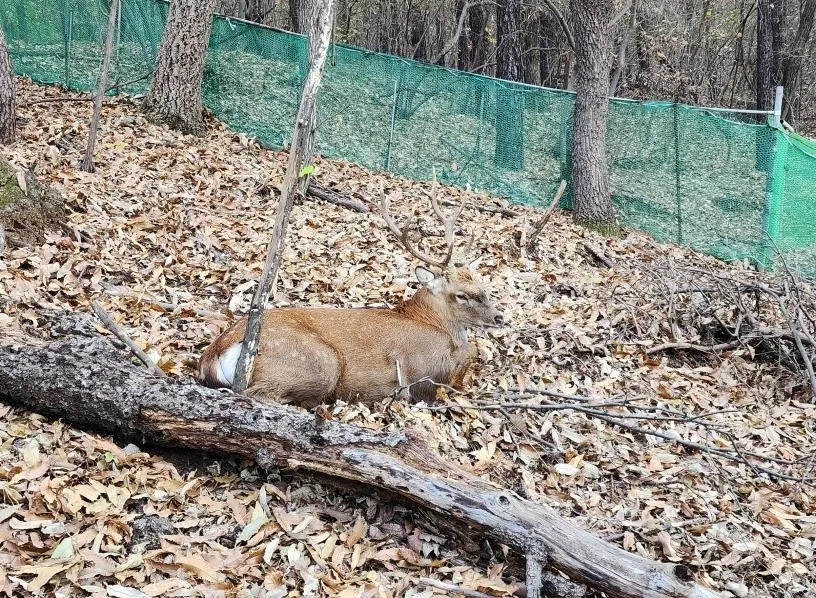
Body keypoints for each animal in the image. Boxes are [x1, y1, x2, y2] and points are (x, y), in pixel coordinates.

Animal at [198, 183, 504, 408]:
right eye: (462, 295)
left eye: (484, 288)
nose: (499, 317)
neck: (431, 321)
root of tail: (213, 353)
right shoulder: (423, 370)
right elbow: (467, 356)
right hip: (319, 362)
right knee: (257, 394)